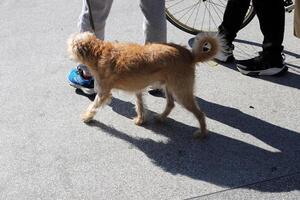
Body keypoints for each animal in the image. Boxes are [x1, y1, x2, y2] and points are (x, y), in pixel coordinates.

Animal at [68, 32, 220, 138]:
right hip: (169, 87)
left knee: (200, 114)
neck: (98, 52)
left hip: (181, 92)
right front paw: (140, 120)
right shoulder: (138, 89)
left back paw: (202, 133)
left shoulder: (103, 93)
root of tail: (190, 55)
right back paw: (161, 118)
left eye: (71, 43)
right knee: (171, 104)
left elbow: (93, 105)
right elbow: (140, 105)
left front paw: (87, 117)